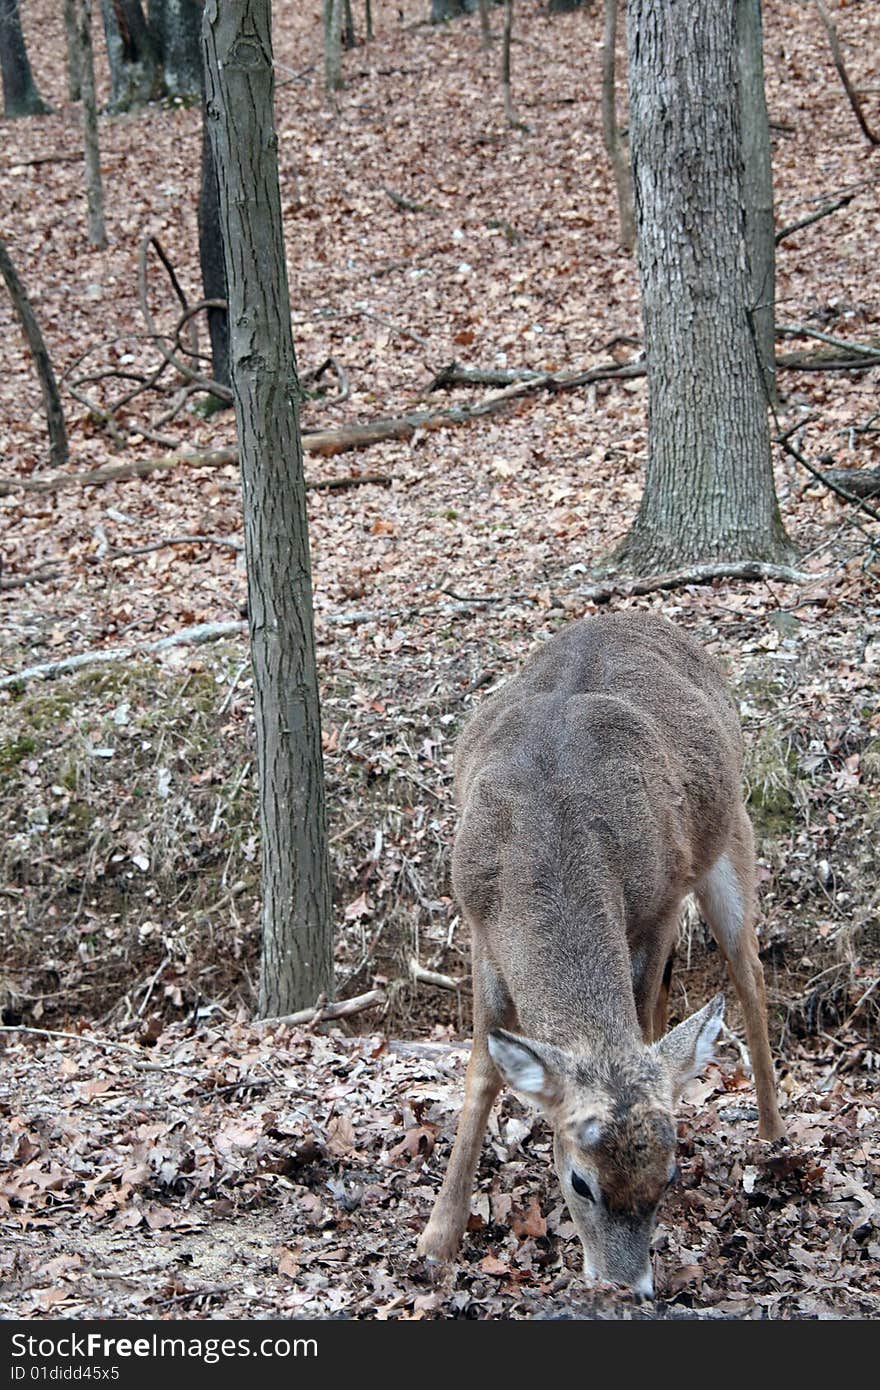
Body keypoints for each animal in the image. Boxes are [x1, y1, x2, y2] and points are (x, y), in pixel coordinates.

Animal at [419, 614, 784, 1295]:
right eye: (580, 1182)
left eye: (669, 1178)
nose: (627, 1288)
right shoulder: (479, 925)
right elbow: (482, 1070)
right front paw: (437, 1239)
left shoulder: (661, 903)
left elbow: (642, 1018)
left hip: (730, 837)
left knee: (747, 972)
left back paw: (774, 1139)